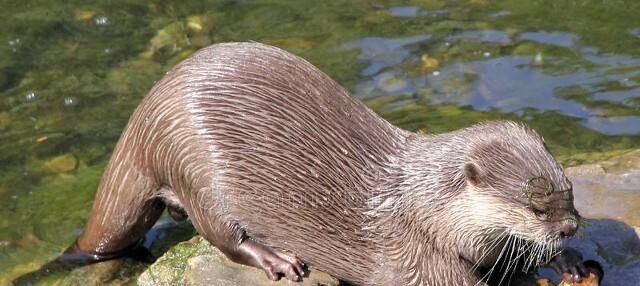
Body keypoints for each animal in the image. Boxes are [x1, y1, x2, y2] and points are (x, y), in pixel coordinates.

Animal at [67, 42, 588, 286]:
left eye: (570, 195)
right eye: (536, 206)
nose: (569, 228)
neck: (425, 209)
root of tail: (146, 115)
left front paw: (568, 262)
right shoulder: (413, 256)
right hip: (197, 168)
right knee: (222, 236)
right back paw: (278, 259)